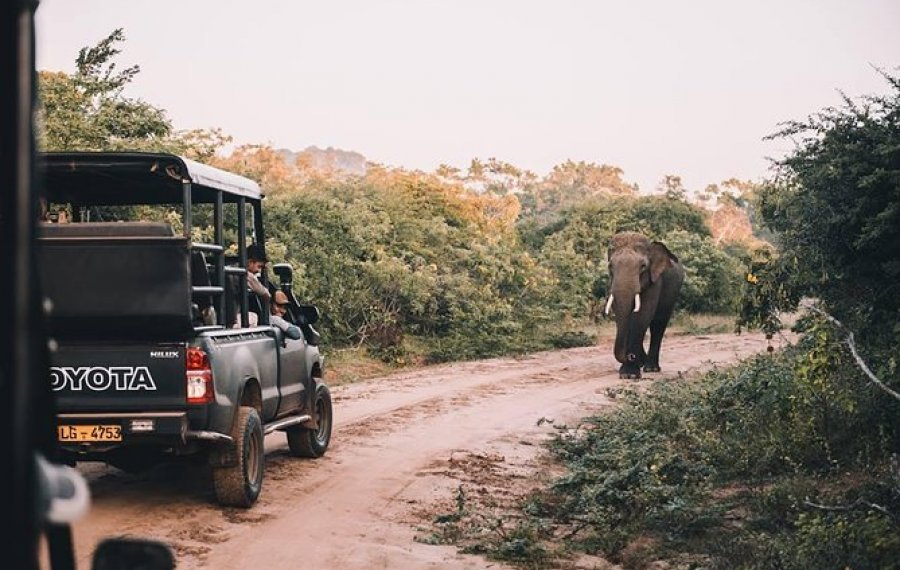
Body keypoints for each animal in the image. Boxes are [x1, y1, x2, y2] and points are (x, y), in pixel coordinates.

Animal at [608, 229, 684, 380]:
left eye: (643, 266)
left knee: (658, 324)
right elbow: (621, 316)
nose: (630, 356)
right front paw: (629, 371)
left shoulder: (654, 281)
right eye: (610, 266)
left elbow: (642, 315)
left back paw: (651, 368)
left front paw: (630, 374)